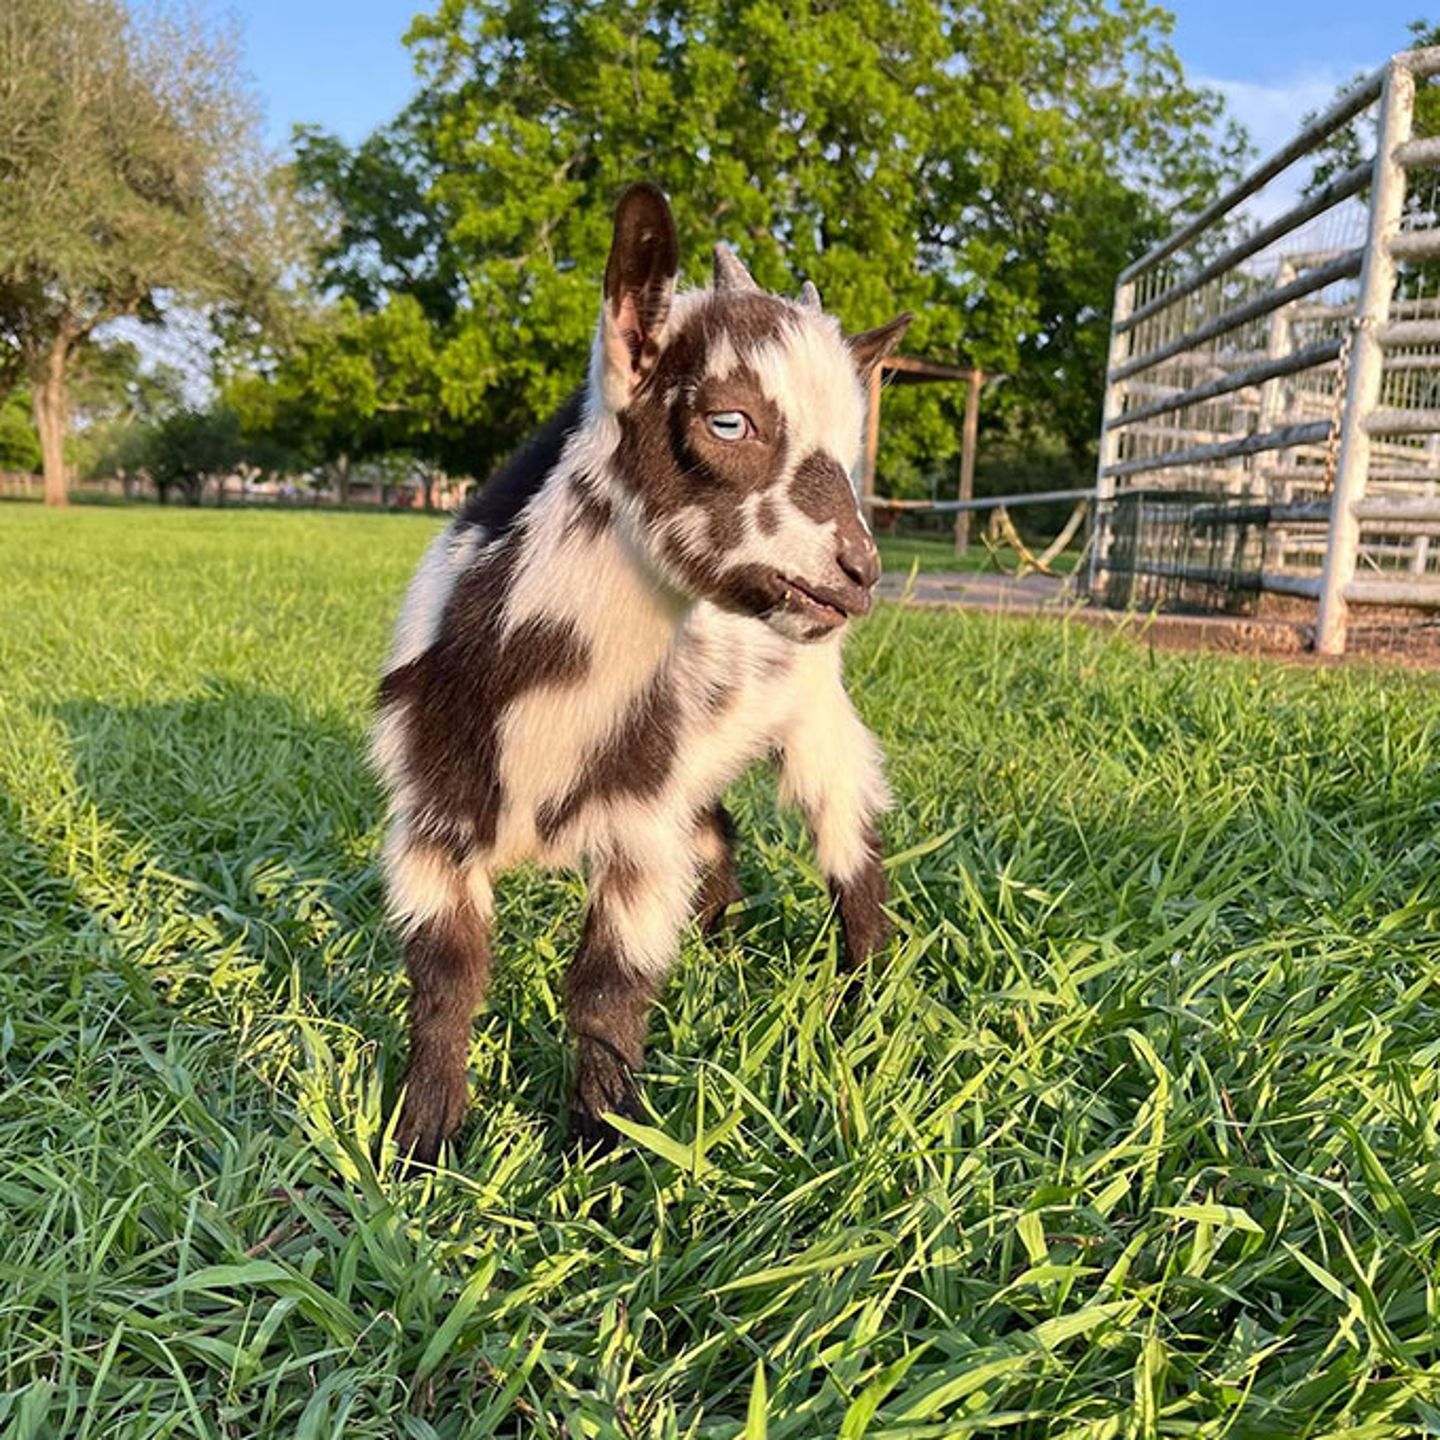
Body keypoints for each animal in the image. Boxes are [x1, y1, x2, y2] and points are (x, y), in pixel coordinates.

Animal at [373, 183, 910, 1161]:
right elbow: (444, 978)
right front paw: (423, 1144)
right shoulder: (431, 823)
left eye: (855, 446)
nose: (859, 571)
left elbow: (606, 990)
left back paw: (866, 1001)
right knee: (720, 832)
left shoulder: (635, 831)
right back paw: (725, 951)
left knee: (850, 845)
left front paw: (601, 1148)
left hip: (815, 718)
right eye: (729, 420)